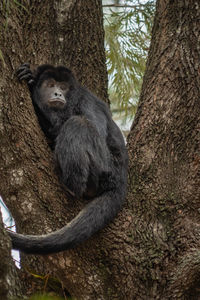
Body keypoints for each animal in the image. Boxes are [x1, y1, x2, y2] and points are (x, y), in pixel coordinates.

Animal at [7, 62, 128, 253]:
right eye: (50, 85)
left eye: (63, 87)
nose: (58, 93)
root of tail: (121, 179)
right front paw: (29, 77)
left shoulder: (86, 101)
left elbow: (93, 127)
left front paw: (31, 90)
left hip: (104, 168)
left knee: (77, 124)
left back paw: (73, 187)